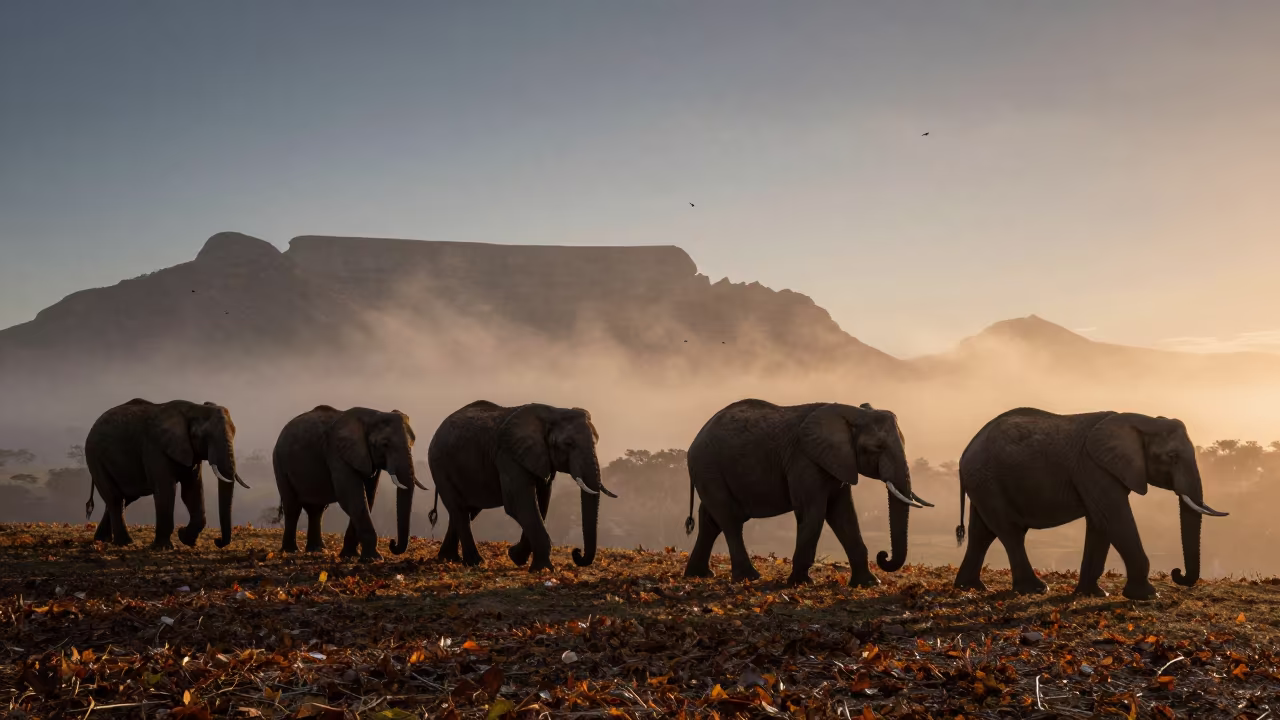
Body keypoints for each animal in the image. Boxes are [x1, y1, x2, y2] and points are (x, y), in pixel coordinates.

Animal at [84, 398, 249, 548]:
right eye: (205, 436)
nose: (217, 541)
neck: (193, 409)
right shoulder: (155, 448)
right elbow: (166, 490)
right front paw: (164, 547)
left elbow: (192, 491)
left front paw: (186, 539)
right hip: (94, 457)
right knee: (115, 498)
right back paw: (125, 543)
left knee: (125, 498)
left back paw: (102, 540)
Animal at [272, 405, 426, 561]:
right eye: (384, 444)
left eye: (413, 442)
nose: (392, 543)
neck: (371, 417)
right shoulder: (337, 453)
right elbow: (350, 496)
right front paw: (373, 559)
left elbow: (368, 496)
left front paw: (350, 555)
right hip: (279, 463)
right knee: (293, 507)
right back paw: (291, 550)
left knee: (317, 510)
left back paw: (318, 550)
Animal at [426, 401, 616, 571]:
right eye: (568, 444)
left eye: (597, 441)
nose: (576, 552)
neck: (553, 413)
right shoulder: (508, 456)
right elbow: (519, 505)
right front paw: (542, 569)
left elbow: (541, 501)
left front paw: (516, 557)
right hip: (439, 466)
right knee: (459, 510)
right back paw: (475, 562)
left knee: (464, 511)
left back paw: (449, 559)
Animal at [683, 399, 931, 586]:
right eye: (876, 448)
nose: (883, 555)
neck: (851, 413)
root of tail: (695, 440)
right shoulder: (804, 460)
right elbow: (813, 513)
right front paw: (799, 583)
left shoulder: (837, 462)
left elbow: (844, 515)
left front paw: (869, 584)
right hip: (709, 467)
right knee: (730, 519)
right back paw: (749, 577)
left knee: (711, 520)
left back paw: (700, 575)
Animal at [953, 408, 1228, 600]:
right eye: (1172, 457)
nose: (1177, 573)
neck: (1140, 420)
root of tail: (964, 452)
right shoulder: (1094, 468)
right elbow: (1114, 519)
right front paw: (1148, 596)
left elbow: (1100, 523)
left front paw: (1093, 595)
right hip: (987, 481)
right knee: (1010, 532)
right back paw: (1035, 589)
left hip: (983, 482)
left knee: (982, 533)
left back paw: (971, 587)